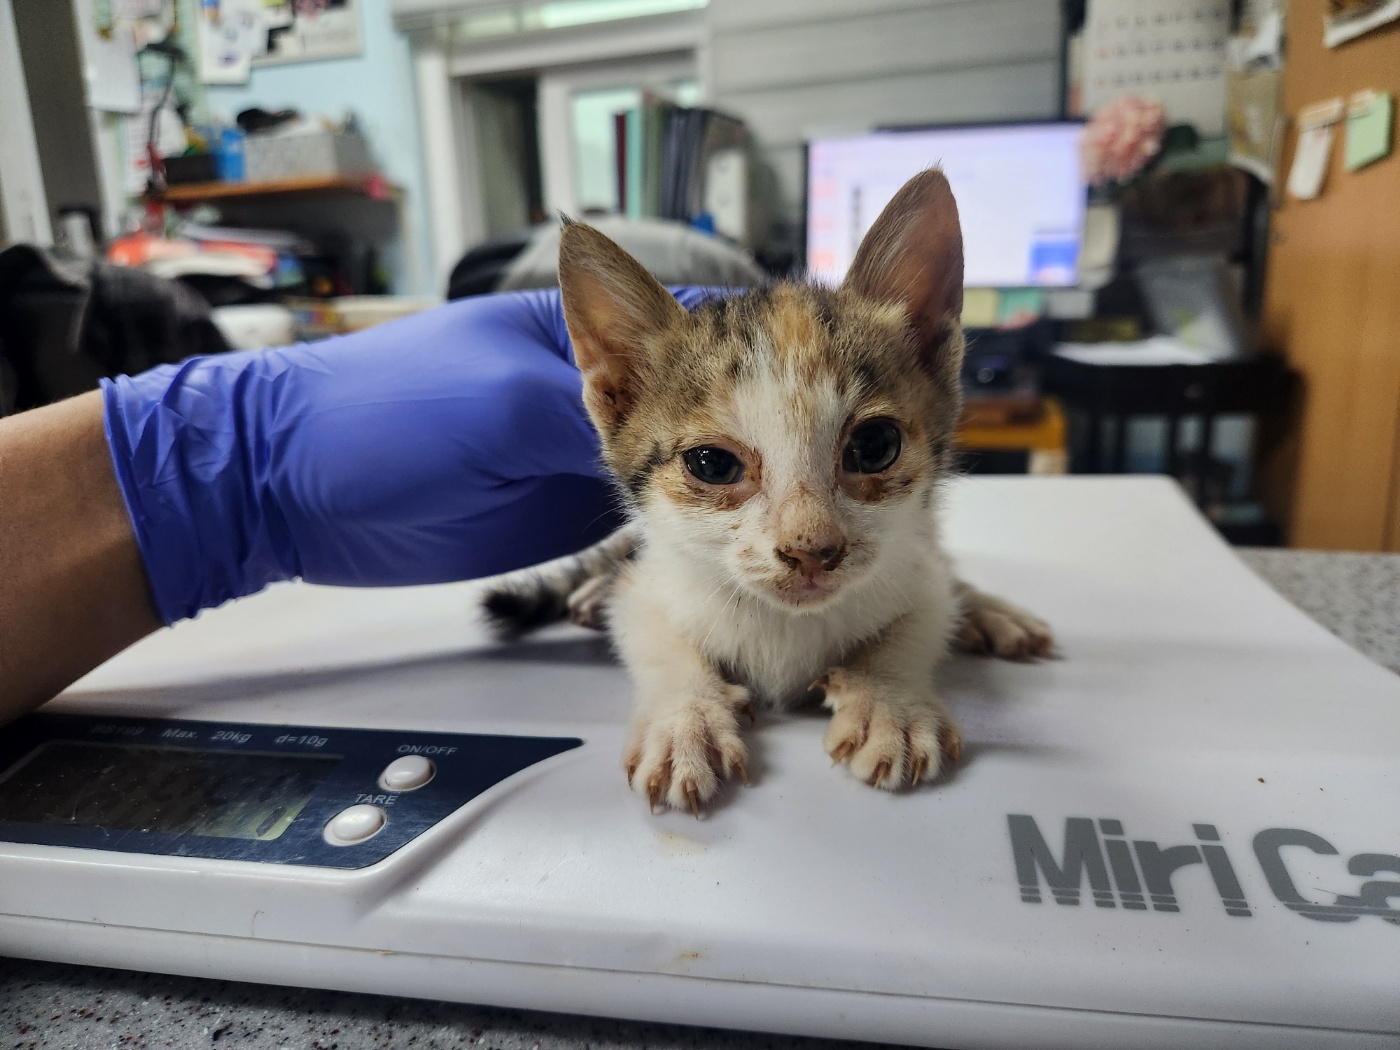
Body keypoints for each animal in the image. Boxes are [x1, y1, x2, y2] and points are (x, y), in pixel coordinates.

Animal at [487, 170, 1047, 812]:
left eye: (875, 445)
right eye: (712, 464)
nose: (812, 550)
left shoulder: (916, 570)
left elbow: (921, 619)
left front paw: (889, 703)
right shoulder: (651, 585)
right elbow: (656, 639)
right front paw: (686, 720)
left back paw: (994, 612)